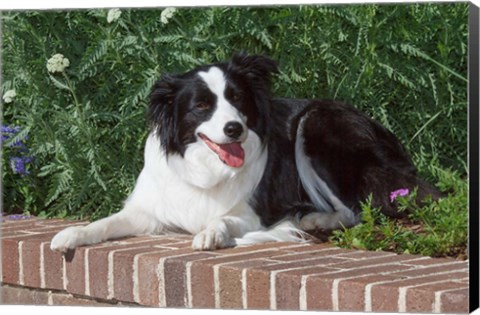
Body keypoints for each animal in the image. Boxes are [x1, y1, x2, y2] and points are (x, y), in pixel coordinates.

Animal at [50, 53, 440, 253]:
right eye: (201, 106)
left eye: (237, 99)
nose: (234, 128)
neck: (205, 167)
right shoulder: (149, 211)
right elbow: (104, 223)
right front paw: (72, 235)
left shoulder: (252, 214)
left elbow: (221, 219)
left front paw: (211, 234)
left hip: (316, 125)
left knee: (355, 210)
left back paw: (312, 219)